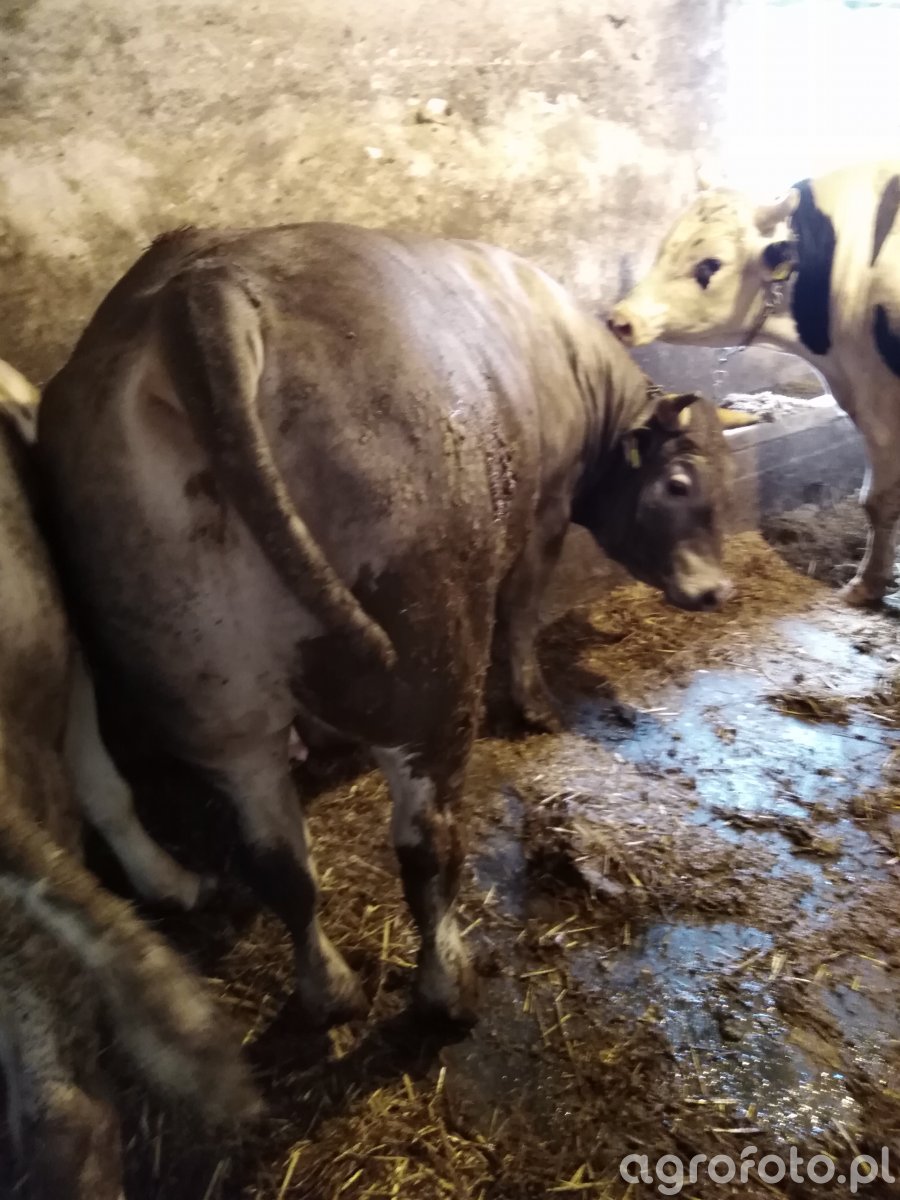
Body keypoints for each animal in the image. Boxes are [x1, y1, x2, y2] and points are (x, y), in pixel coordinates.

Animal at [37, 223, 733, 1028]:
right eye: (679, 485)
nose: (719, 589)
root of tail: (204, 289)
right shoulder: (545, 514)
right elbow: (521, 613)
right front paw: (534, 705)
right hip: (428, 671)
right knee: (426, 842)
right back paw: (447, 987)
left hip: (205, 692)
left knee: (279, 860)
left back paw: (329, 990)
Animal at [608, 161, 900, 606]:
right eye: (665, 246)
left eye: (709, 264)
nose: (621, 319)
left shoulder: (879, 403)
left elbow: (878, 500)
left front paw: (865, 586)